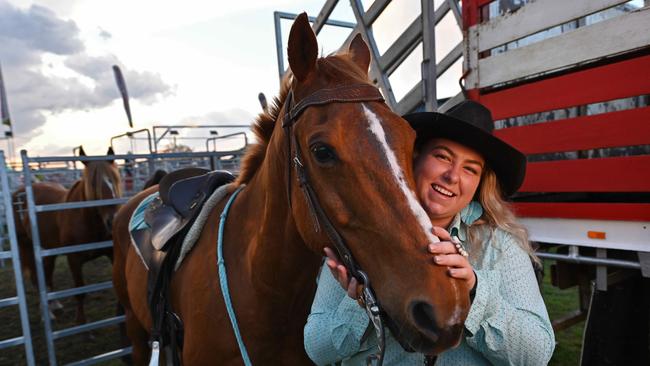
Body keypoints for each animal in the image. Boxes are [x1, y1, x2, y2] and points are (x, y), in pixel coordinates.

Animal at [13, 146, 123, 324]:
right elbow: (80, 291)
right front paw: (81, 322)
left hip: (48, 249)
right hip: (26, 246)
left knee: (48, 273)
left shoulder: (112, 253)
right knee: (36, 278)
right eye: (93, 183)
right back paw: (46, 313)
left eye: (115, 180)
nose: (113, 220)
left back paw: (55, 304)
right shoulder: (74, 259)